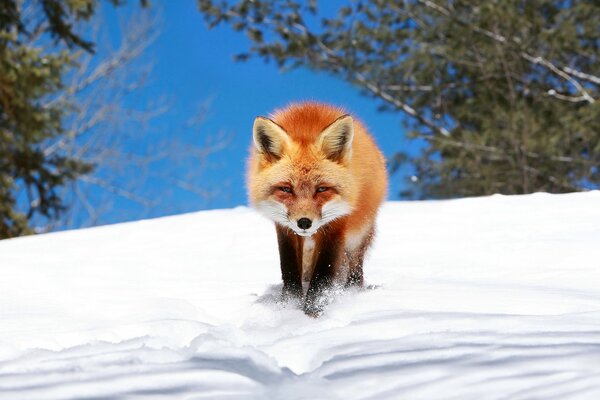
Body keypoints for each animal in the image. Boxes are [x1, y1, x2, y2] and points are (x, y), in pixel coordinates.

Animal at [246, 101, 386, 318]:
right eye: (286, 189)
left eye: (321, 189)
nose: (304, 222)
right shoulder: (285, 228)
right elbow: (289, 270)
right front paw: (289, 307)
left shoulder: (335, 225)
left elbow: (322, 275)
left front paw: (312, 313)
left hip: (357, 236)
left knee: (355, 269)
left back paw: (352, 292)